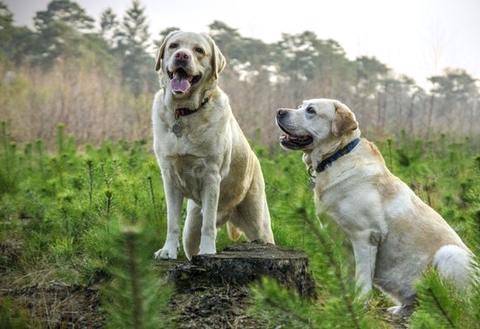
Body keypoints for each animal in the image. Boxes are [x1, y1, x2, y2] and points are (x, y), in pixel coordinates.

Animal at [153, 32, 274, 260]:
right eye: (174, 46)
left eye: (199, 50)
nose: (182, 56)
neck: (185, 112)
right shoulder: (169, 177)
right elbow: (172, 222)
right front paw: (167, 251)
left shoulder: (211, 176)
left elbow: (208, 226)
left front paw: (209, 252)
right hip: (191, 228)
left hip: (259, 224)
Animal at [276, 97, 474, 312]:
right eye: (300, 106)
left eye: (311, 110)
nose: (280, 111)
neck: (337, 155)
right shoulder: (344, 243)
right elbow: (349, 275)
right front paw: (347, 302)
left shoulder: (365, 236)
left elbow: (362, 279)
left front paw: (359, 305)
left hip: (449, 254)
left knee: (460, 305)